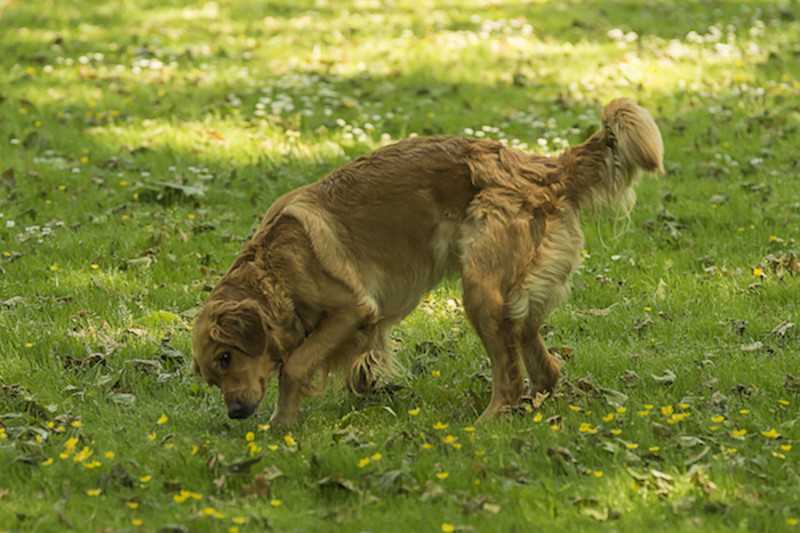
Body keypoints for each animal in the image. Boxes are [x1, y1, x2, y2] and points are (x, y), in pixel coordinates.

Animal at [192, 97, 664, 426]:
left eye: (226, 357)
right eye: (212, 377)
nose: (236, 413)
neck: (277, 266)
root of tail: (540, 167)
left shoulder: (353, 308)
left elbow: (293, 365)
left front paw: (282, 424)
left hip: (480, 290)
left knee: (509, 377)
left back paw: (490, 420)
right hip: (519, 295)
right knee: (542, 364)